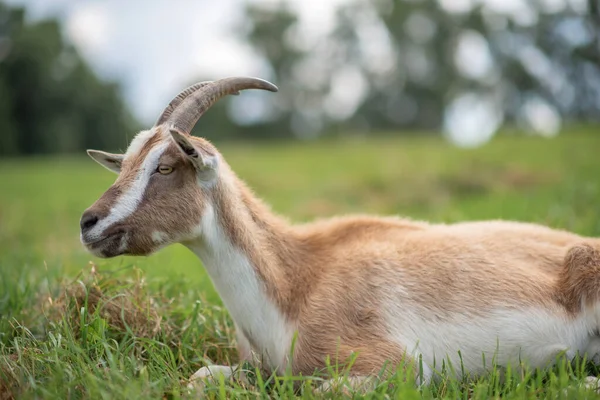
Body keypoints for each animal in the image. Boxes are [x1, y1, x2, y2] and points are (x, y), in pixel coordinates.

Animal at [79, 76, 600, 392]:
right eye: (124, 165)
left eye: (166, 166)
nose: (89, 223)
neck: (295, 281)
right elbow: (200, 376)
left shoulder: (394, 366)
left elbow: (317, 388)